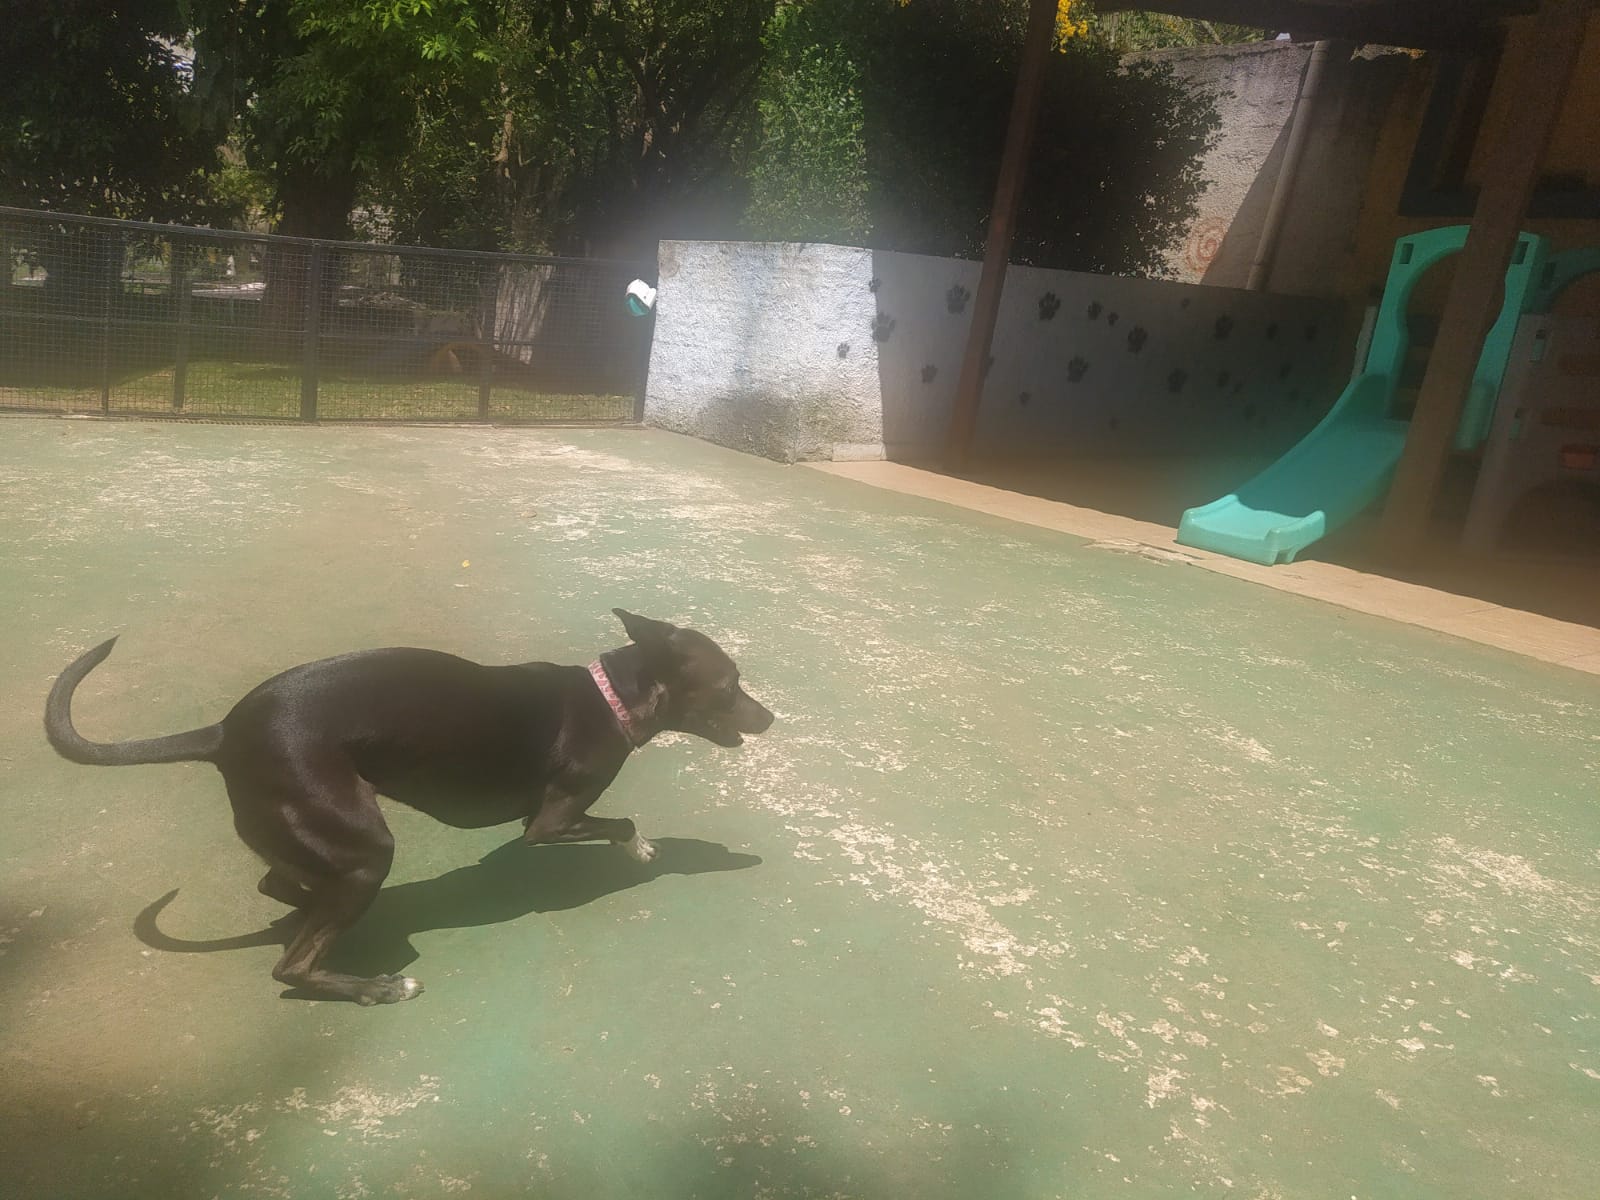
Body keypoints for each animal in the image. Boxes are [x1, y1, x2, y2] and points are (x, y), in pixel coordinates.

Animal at [44, 610, 773, 1005]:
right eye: (731, 683)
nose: (770, 716)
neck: (613, 696)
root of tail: (224, 732)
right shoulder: (550, 824)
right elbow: (619, 821)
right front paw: (642, 848)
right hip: (365, 846)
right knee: (291, 964)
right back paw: (374, 985)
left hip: (321, 838)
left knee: (279, 882)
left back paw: (319, 915)